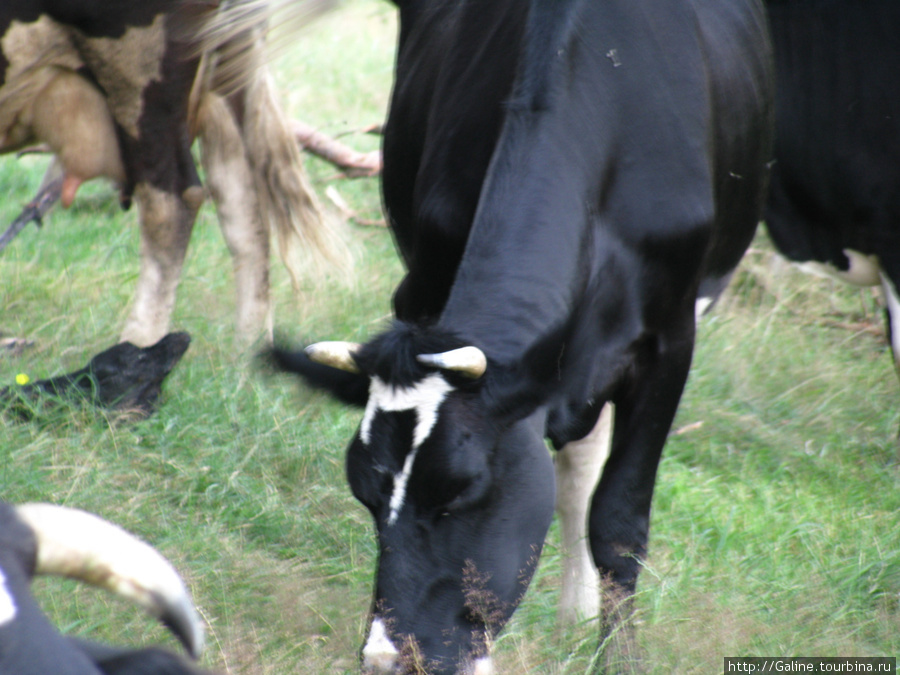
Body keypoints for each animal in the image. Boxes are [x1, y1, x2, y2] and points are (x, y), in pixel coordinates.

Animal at [0, 0, 338, 348]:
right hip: (225, 79)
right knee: (245, 208)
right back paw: (249, 349)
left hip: (140, 76)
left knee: (173, 204)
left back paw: (137, 345)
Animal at [270, 0, 776, 672]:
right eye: (365, 492)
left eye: (460, 492)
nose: (386, 656)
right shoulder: (424, 292)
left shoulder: (669, 342)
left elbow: (620, 521)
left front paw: (618, 656)